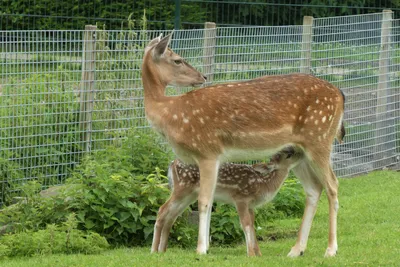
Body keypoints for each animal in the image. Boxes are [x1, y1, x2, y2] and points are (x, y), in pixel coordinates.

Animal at [153, 147, 304, 258]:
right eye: (288, 155)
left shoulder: (251, 206)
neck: (263, 185)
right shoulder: (241, 198)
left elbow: (252, 226)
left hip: (190, 194)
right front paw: (251, 254)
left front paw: (258, 253)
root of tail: (172, 163)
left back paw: (162, 250)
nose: (302, 153)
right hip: (182, 188)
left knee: (171, 216)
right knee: (162, 209)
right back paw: (154, 250)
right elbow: (245, 224)